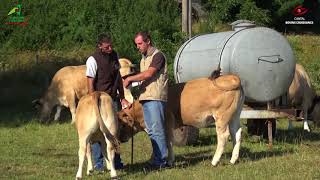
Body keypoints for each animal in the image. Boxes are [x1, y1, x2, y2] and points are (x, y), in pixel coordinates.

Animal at [117, 74, 245, 166]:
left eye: (122, 125)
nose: (120, 139)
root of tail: (231, 77)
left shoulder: (167, 123)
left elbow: (167, 141)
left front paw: (169, 161)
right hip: (234, 115)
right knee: (236, 133)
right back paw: (233, 160)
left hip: (222, 117)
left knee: (223, 136)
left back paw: (215, 161)